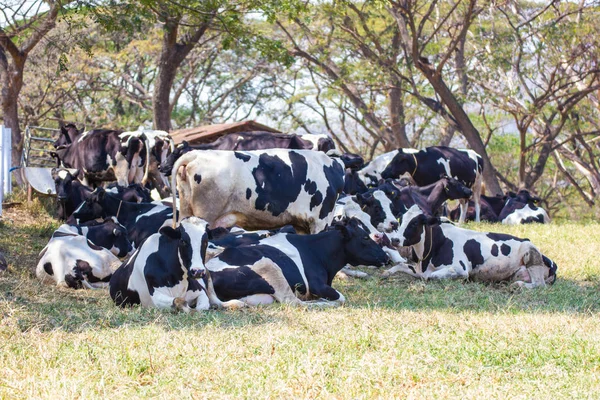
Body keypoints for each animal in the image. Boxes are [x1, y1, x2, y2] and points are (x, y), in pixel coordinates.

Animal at [110, 217, 244, 310]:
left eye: (206, 241)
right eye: (183, 240)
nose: (197, 271)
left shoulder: (200, 291)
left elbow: (202, 306)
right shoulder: (156, 298)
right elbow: (180, 302)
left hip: (207, 273)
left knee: (216, 300)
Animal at [209, 216, 390, 306]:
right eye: (365, 237)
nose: (386, 257)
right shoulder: (316, 285)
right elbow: (341, 297)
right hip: (269, 267)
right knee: (293, 302)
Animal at [384, 203, 556, 288]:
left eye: (414, 223)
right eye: (400, 220)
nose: (395, 240)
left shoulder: (460, 269)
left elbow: (431, 276)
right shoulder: (418, 269)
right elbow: (399, 266)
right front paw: (386, 273)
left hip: (530, 252)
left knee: (539, 284)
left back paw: (519, 285)